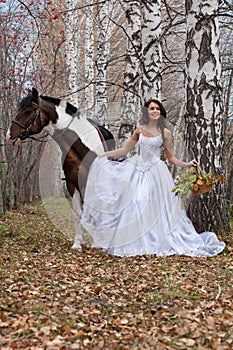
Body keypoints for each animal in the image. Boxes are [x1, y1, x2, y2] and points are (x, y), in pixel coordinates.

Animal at [6, 89, 116, 250]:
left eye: (27, 111)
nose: (9, 136)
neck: (81, 145)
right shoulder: (72, 183)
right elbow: (78, 212)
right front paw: (78, 243)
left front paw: (97, 243)